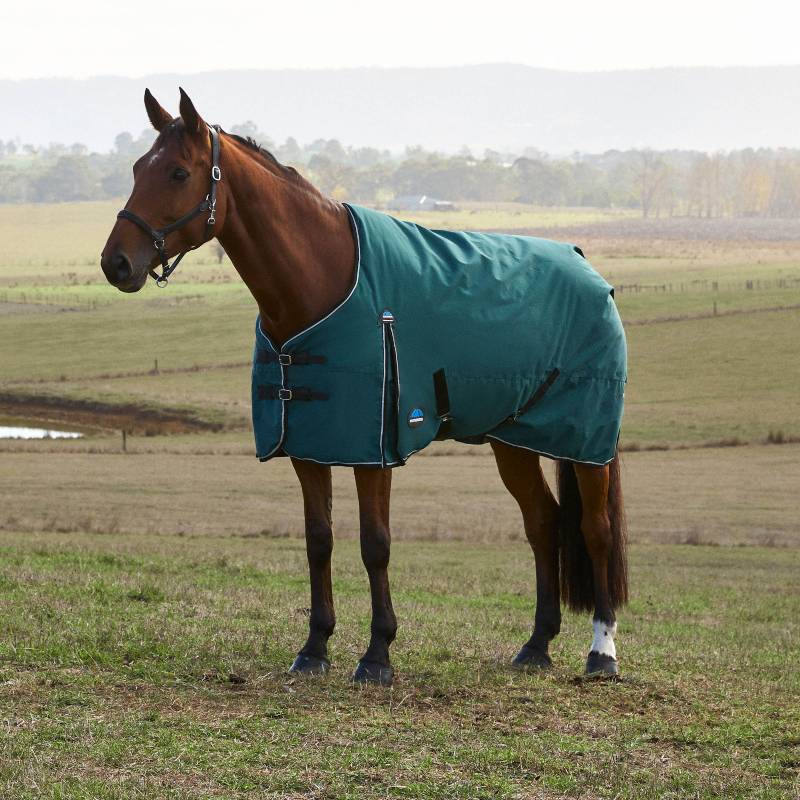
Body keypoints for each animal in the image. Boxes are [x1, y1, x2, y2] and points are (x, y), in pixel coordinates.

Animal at [100, 89, 628, 686]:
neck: (322, 282)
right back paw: (536, 645)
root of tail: (586, 266)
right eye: (137, 168)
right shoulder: (308, 444)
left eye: (178, 172)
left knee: (595, 528)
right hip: (511, 440)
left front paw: (377, 655)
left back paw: (601, 652)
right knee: (543, 522)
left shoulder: (374, 449)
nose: (116, 262)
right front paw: (314, 648)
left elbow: (375, 544)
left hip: (586, 443)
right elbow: (319, 540)